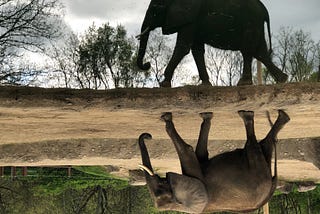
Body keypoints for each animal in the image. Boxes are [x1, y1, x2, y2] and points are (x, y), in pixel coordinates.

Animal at [136, 0, 288, 87]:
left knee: (248, 50)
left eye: (155, 8)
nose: (147, 64)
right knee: (260, 52)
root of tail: (264, 10)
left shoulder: (191, 17)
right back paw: (283, 79)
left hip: (250, 21)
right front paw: (206, 85)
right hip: (255, 24)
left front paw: (164, 84)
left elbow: (183, 46)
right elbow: (196, 50)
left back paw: (243, 84)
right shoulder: (194, 22)